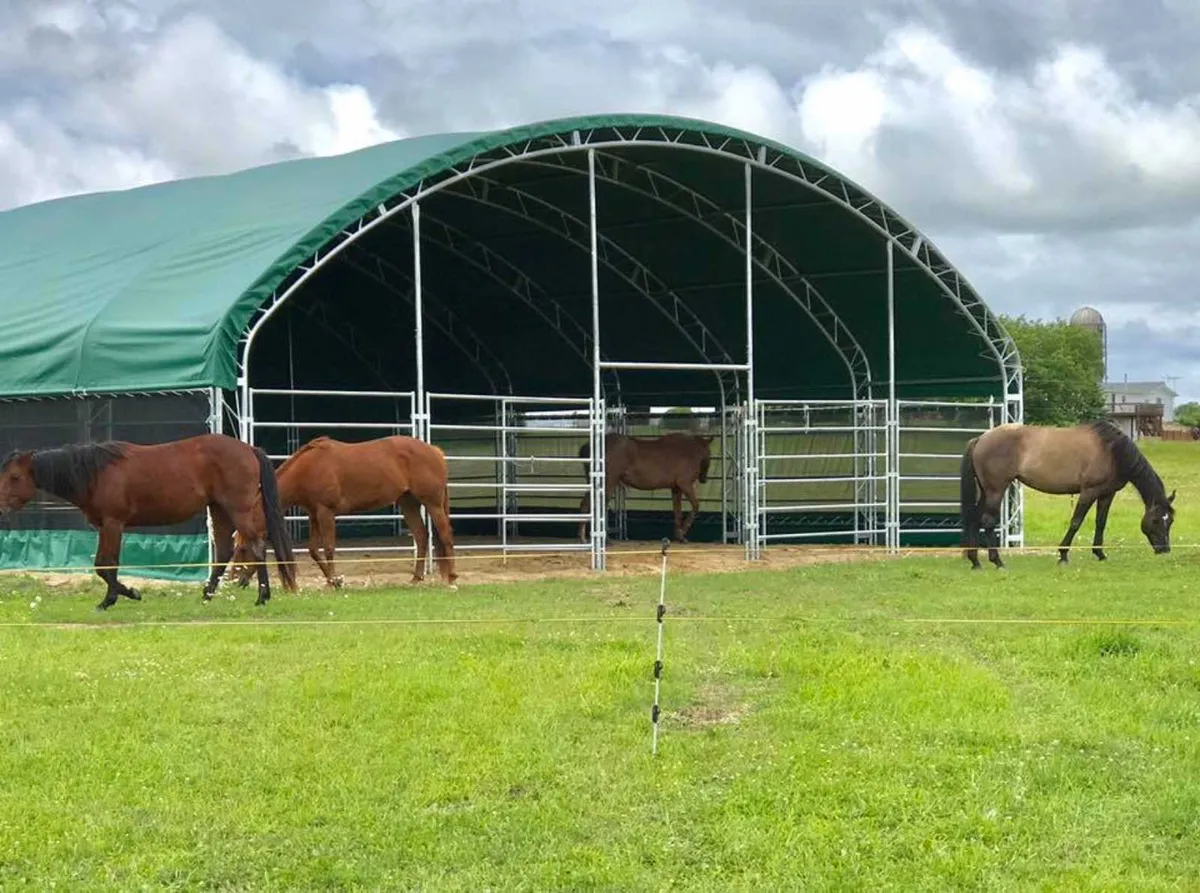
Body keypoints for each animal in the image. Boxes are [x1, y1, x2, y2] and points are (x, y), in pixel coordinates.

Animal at [0, 432, 298, 607]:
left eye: (14, 477)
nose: (1, 507)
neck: (96, 473)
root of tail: (249, 449)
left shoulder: (113, 523)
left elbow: (107, 565)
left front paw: (120, 596)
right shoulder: (104, 527)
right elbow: (102, 565)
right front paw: (118, 596)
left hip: (237, 509)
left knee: (256, 546)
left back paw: (262, 596)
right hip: (219, 509)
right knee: (225, 551)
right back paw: (208, 595)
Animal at [226, 436, 456, 590]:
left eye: (243, 549)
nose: (236, 580)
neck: (307, 469)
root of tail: (435, 451)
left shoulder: (326, 513)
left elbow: (328, 548)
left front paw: (334, 581)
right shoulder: (314, 515)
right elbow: (313, 550)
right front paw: (332, 580)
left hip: (432, 503)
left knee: (445, 535)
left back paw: (452, 578)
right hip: (408, 503)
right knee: (421, 536)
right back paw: (416, 578)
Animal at [578, 432, 710, 544]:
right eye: (709, 454)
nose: (704, 479)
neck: (688, 451)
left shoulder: (676, 488)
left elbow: (677, 512)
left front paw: (680, 536)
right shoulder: (685, 484)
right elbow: (695, 505)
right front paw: (684, 532)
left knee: (586, 504)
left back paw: (584, 538)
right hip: (608, 482)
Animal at [960, 420, 1176, 571]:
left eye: (1170, 521)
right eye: (1156, 520)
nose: (1164, 549)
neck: (1111, 450)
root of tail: (980, 439)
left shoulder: (1107, 494)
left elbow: (1101, 522)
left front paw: (1100, 554)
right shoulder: (1089, 491)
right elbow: (1076, 521)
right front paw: (1063, 555)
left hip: (986, 491)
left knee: (974, 518)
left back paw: (975, 562)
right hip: (996, 490)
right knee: (988, 521)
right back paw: (997, 562)